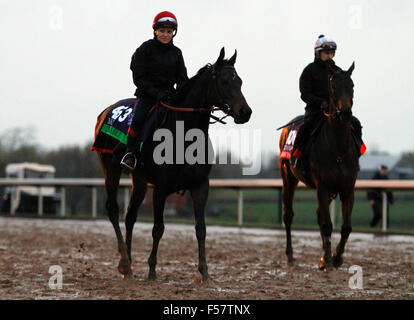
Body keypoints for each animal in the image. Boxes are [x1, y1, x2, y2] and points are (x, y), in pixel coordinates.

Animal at [94, 48, 252, 282]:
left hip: (138, 179)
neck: (184, 134)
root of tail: (105, 112)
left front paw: (204, 272)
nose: (245, 112)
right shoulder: (161, 189)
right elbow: (158, 228)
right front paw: (152, 270)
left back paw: (129, 265)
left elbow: (201, 228)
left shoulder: (200, 186)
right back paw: (123, 262)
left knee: (130, 216)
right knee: (113, 210)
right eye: (224, 81)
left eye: (239, 81)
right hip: (110, 168)